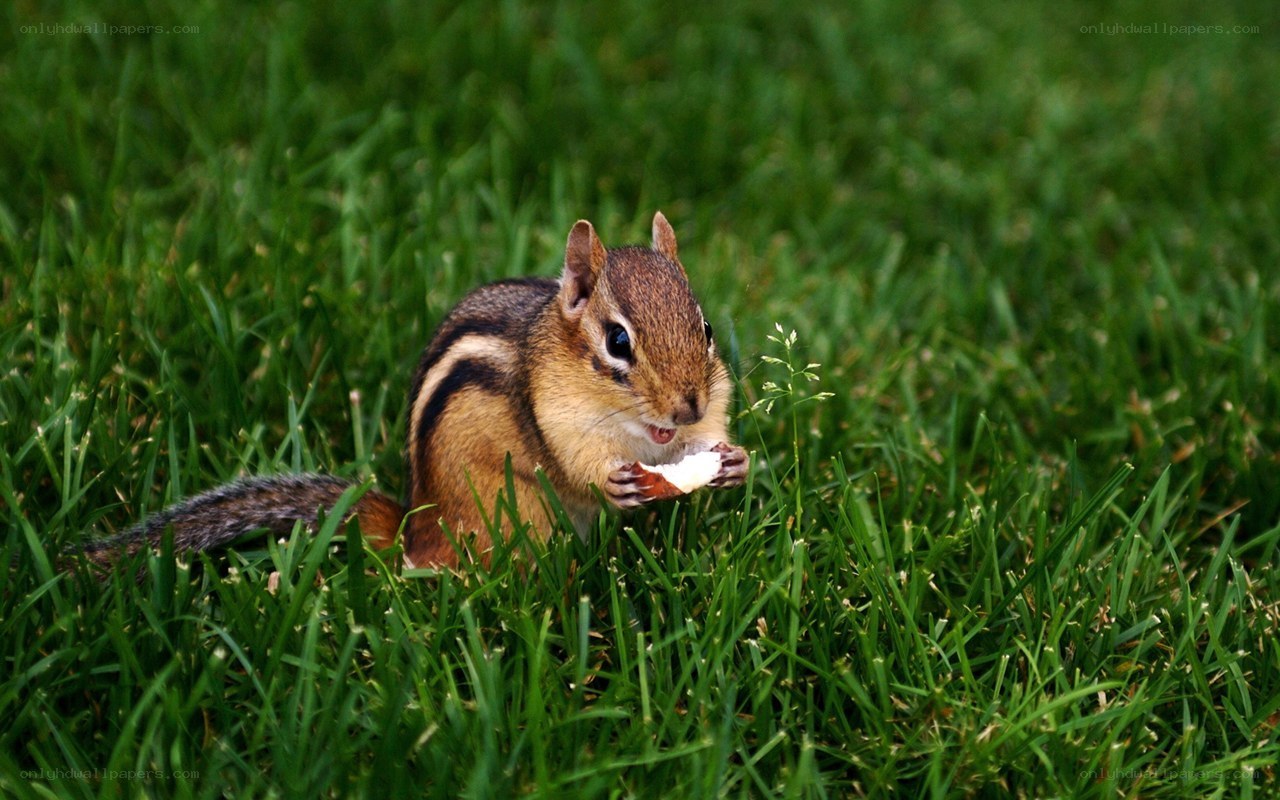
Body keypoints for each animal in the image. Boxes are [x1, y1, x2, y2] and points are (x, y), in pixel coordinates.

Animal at [82, 212, 748, 570]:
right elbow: (576, 463)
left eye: (706, 329)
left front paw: (735, 461)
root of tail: (416, 524)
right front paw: (612, 482)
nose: (687, 405)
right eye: (617, 341)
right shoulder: (558, 417)